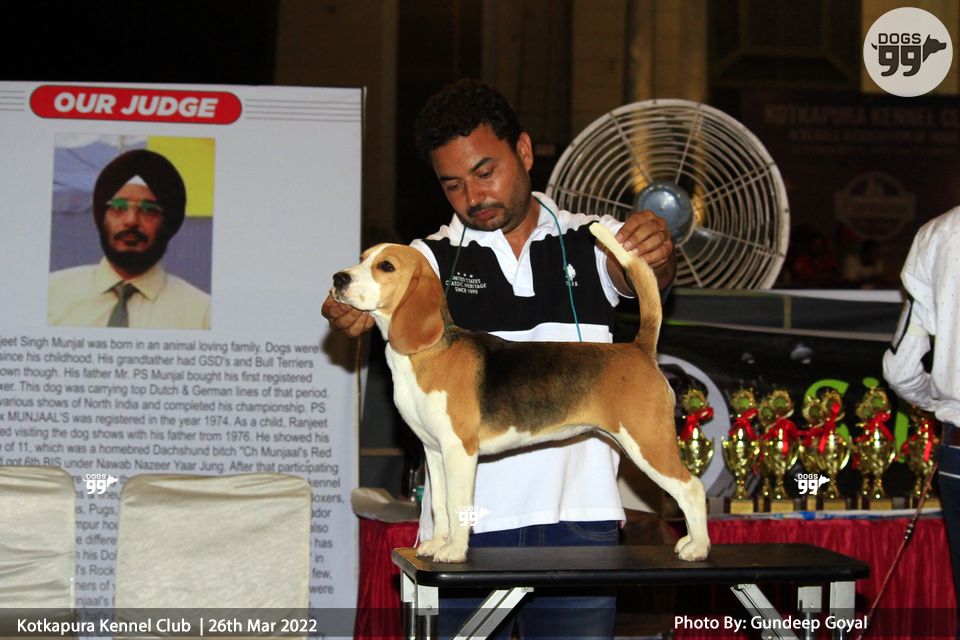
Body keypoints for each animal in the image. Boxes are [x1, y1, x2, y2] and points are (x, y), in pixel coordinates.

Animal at [331, 223, 710, 563]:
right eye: (362, 258)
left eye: (386, 266)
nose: (338, 278)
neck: (426, 352)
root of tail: (639, 349)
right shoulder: (433, 451)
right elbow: (439, 505)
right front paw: (437, 543)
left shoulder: (459, 449)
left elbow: (456, 505)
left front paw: (454, 550)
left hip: (648, 443)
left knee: (691, 488)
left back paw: (698, 547)